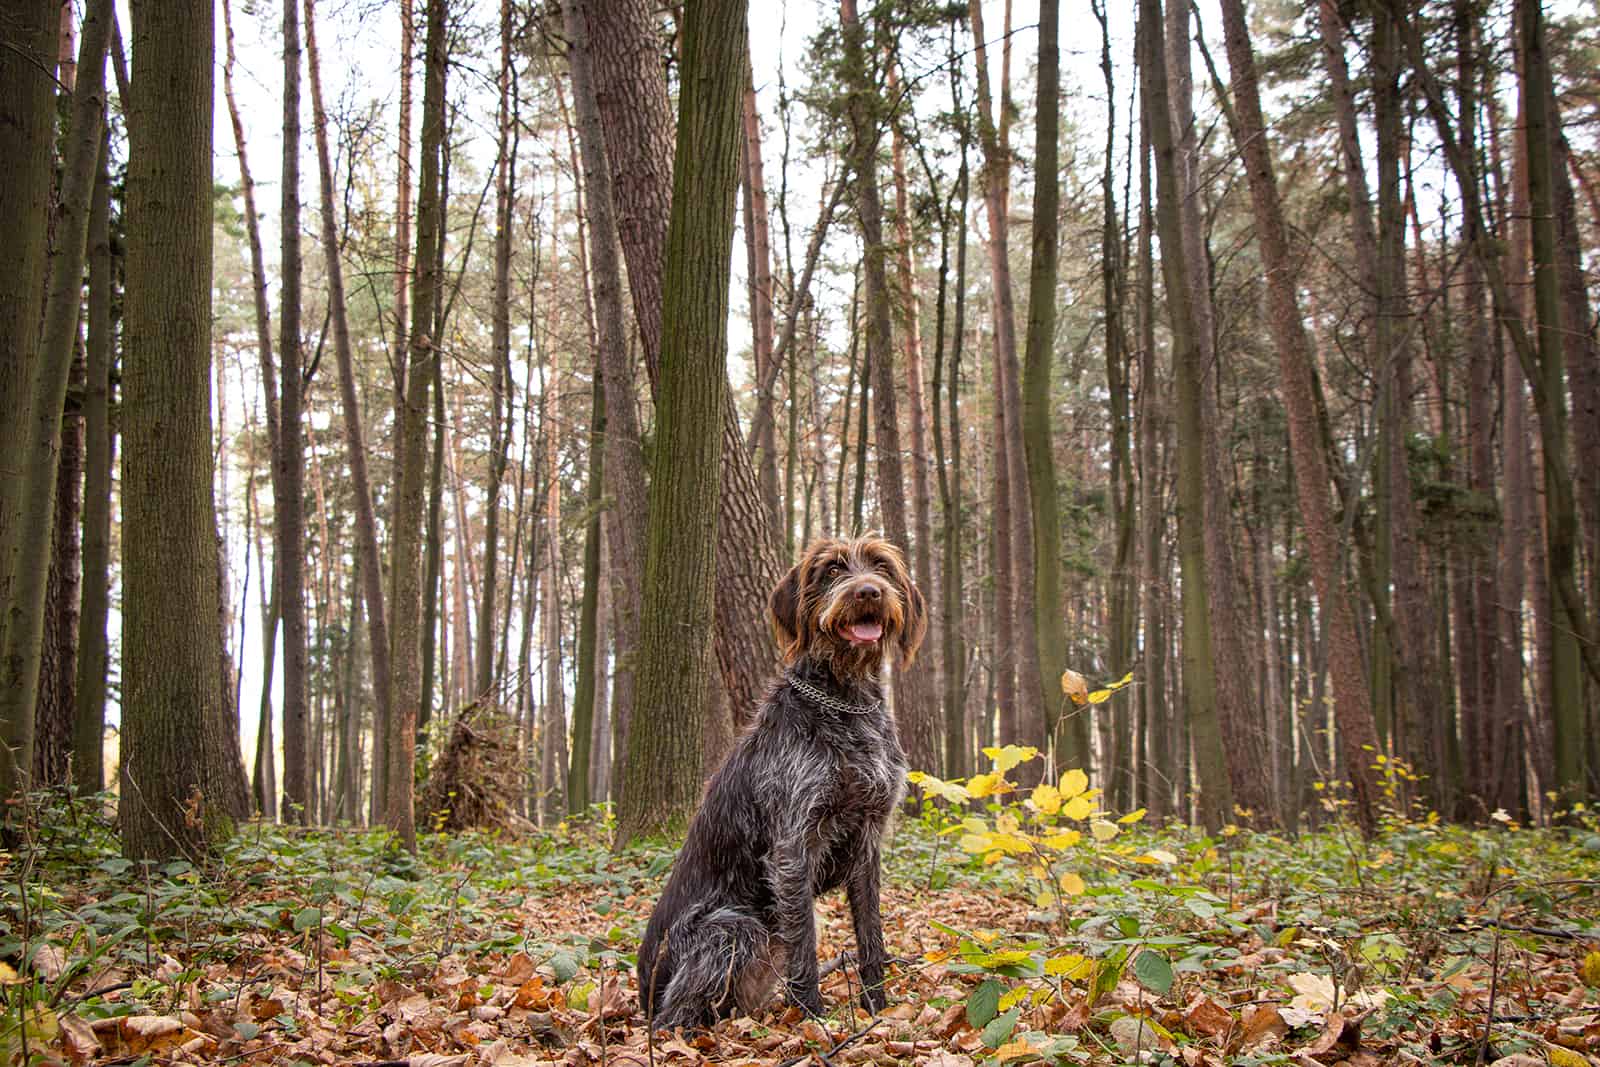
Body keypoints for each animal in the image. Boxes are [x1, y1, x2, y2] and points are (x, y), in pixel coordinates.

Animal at [630, 537, 921, 1030]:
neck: (847, 700)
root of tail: (641, 994)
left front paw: (878, 1008)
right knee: (672, 1018)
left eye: (881, 566)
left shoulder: (868, 840)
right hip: (732, 928)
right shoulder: (793, 846)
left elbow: (871, 934)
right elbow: (805, 941)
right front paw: (814, 1018)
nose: (868, 592)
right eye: (832, 569)